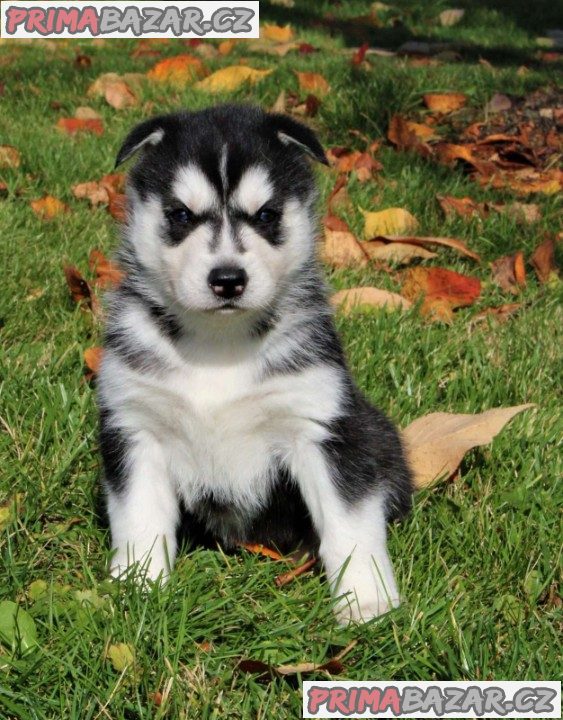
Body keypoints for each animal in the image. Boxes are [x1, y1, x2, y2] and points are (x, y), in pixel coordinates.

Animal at [98, 102, 414, 624]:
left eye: (266, 215)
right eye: (180, 214)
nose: (228, 279)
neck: (219, 345)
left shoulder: (323, 426)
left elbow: (349, 525)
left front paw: (366, 600)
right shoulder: (135, 424)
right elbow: (140, 517)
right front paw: (139, 589)